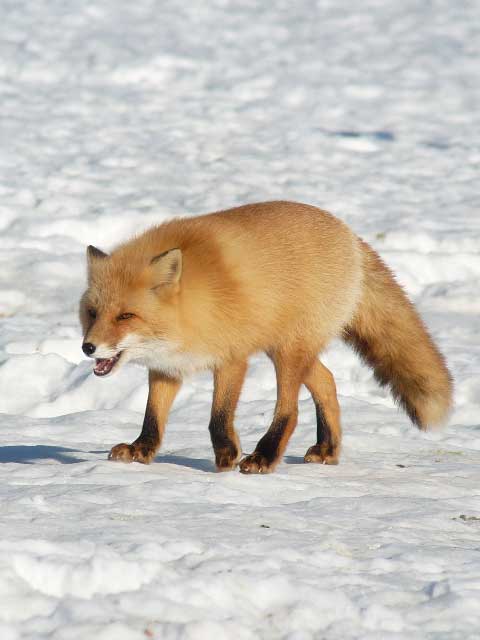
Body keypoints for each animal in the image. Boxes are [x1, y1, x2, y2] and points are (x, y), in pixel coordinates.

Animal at [80, 202, 452, 472]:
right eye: (93, 313)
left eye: (125, 316)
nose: (88, 347)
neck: (191, 310)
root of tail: (349, 234)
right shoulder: (167, 366)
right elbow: (153, 417)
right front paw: (141, 450)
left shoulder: (232, 358)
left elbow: (219, 416)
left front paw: (227, 456)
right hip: (288, 349)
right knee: (327, 382)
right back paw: (327, 449)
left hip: (289, 351)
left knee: (290, 409)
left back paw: (265, 456)